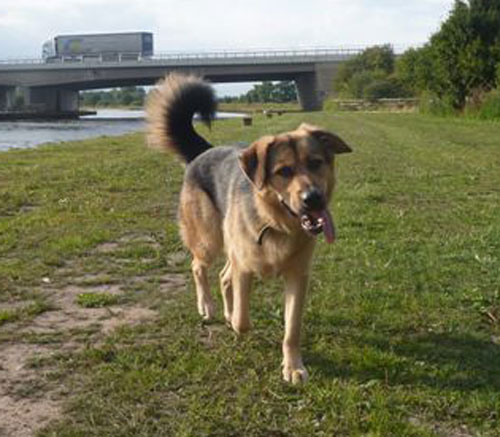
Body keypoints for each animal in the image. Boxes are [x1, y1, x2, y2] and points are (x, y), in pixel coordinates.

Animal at [146, 74, 352, 382]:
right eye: (283, 172)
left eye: (316, 163)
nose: (314, 198)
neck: (276, 223)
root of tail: (203, 151)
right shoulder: (244, 269)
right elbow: (243, 320)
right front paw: (235, 321)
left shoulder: (297, 277)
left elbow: (292, 330)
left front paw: (293, 366)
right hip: (209, 241)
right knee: (199, 267)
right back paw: (208, 306)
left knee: (222, 276)